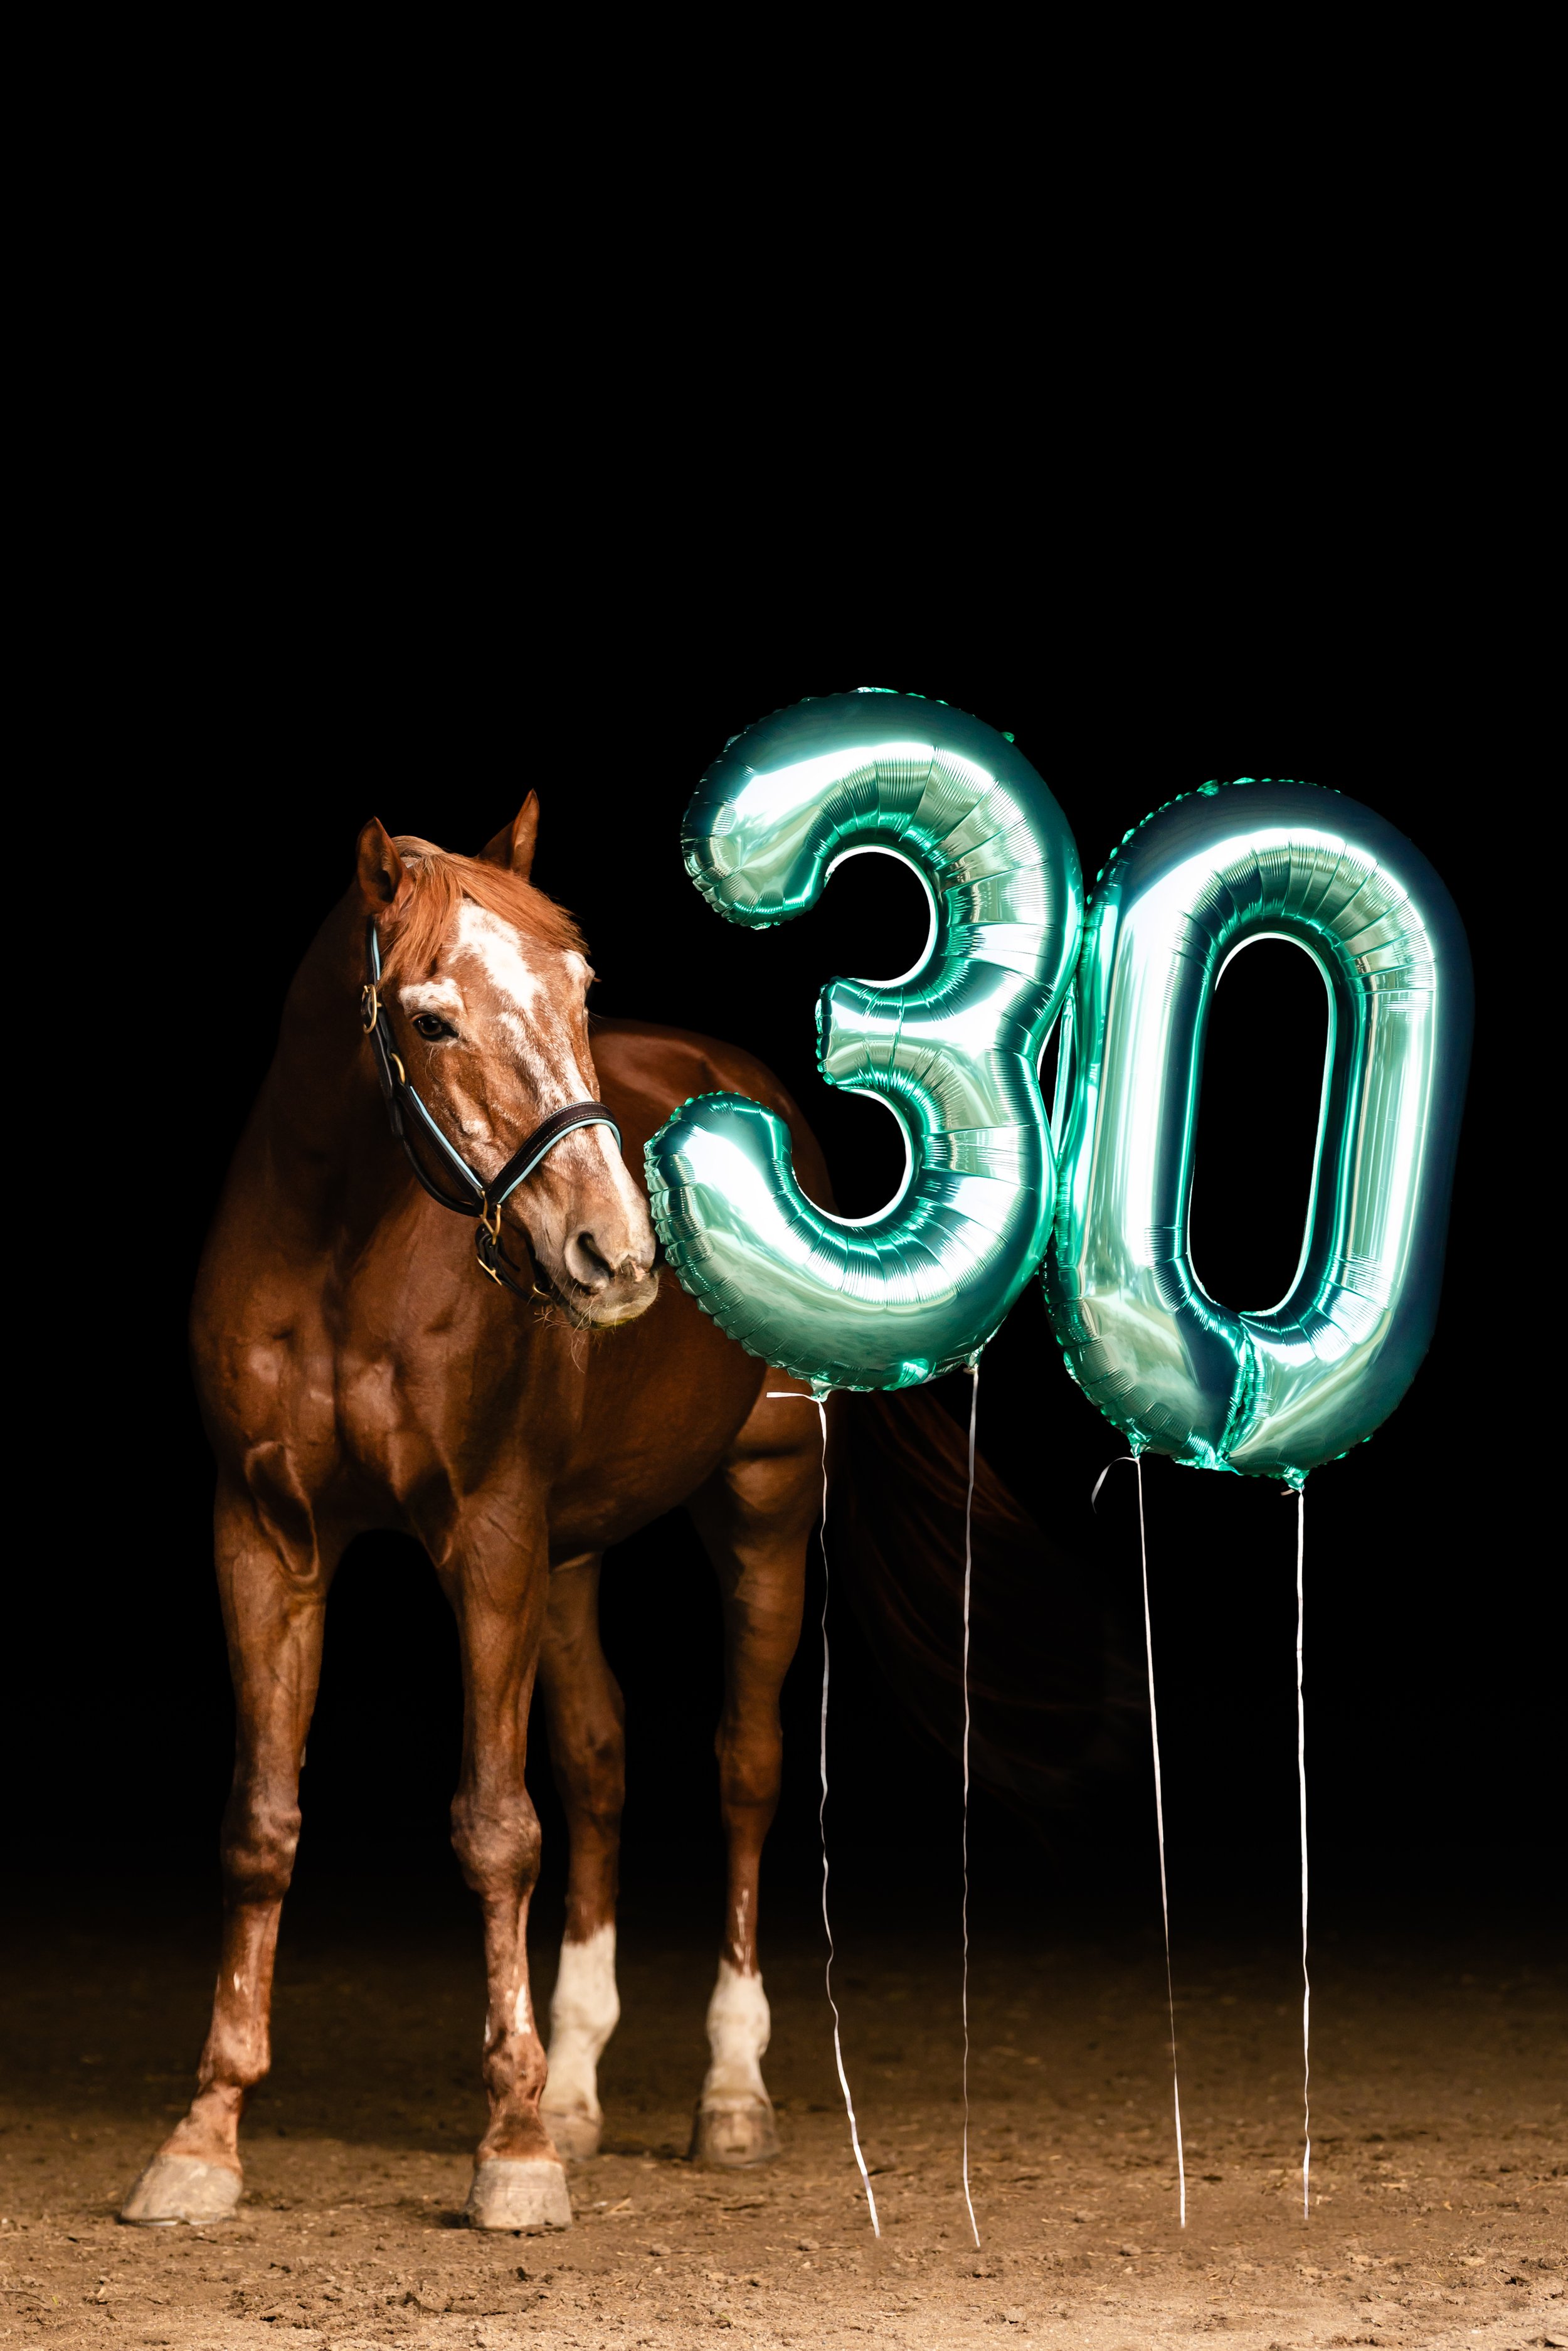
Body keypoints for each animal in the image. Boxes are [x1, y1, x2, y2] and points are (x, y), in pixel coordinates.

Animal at [120, 794, 1109, 2235]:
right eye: (430, 1018)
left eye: (580, 989)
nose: (615, 1251)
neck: (343, 1255)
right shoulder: (266, 1534)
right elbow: (263, 1825)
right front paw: (204, 2137)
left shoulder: (485, 1541)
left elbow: (494, 1828)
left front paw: (514, 2152)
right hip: (570, 1552)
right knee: (596, 1764)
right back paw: (582, 2082)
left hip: (757, 1508)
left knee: (745, 1769)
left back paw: (729, 2095)